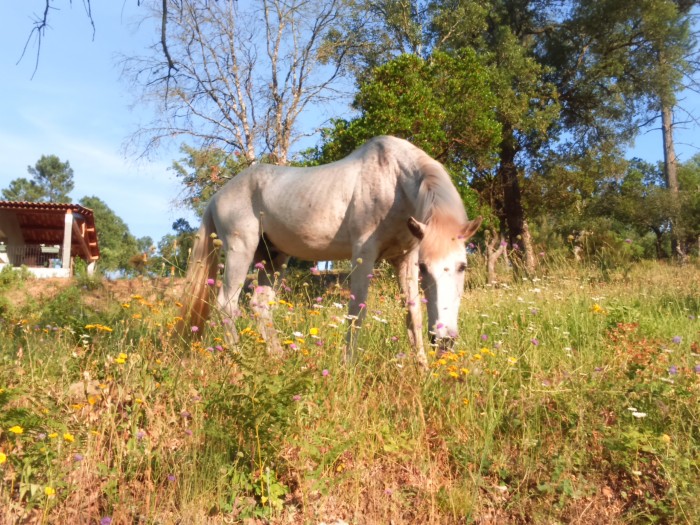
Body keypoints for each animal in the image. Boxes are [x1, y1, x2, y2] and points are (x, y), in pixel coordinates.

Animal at [179, 134, 482, 364]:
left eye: (462, 266)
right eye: (425, 268)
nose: (444, 340)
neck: (393, 180)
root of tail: (217, 196)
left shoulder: (404, 259)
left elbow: (413, 316)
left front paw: (423, 369)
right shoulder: (364, 256)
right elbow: (356, 313)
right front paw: (349, 367)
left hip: (275, 259)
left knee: (260, 306)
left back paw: (277, 359)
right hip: (240, 252)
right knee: (226, 305)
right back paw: (239, 358)